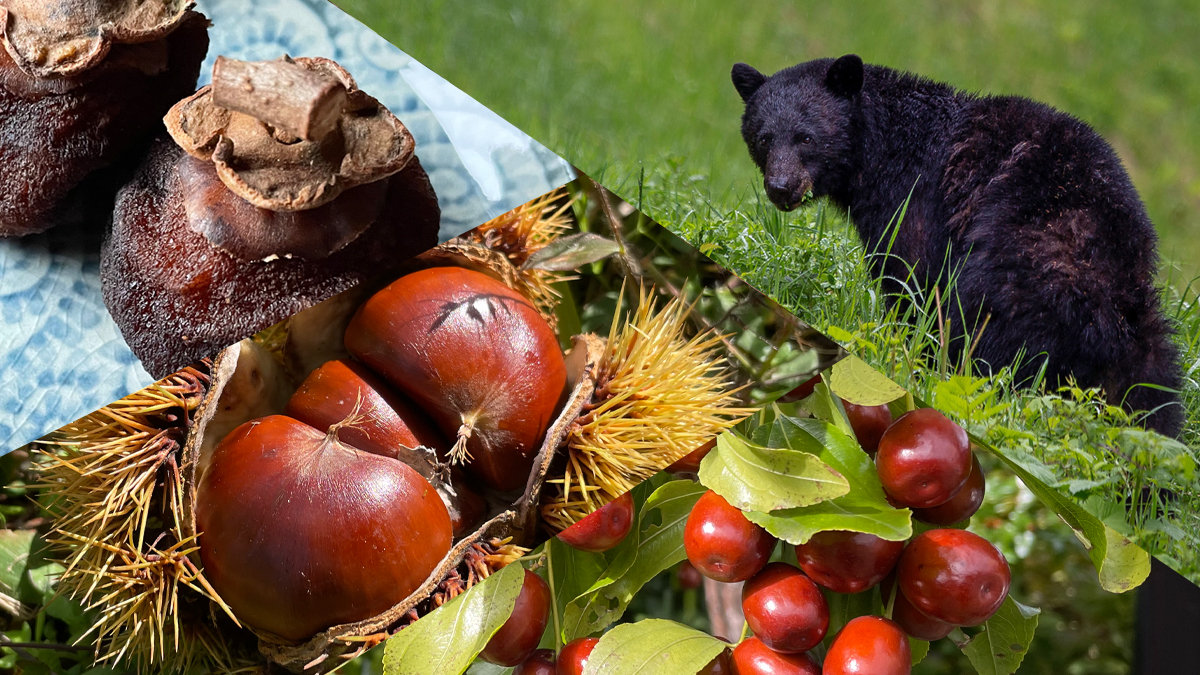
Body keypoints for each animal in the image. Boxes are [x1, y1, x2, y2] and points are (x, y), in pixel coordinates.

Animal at [729, 56, 1180, 437]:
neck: (882, 147)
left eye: (806, 137)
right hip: (1145, 340)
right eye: (763, 138)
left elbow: (910, 278)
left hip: (1015, 272)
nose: (781, 187)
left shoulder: (914, 201)